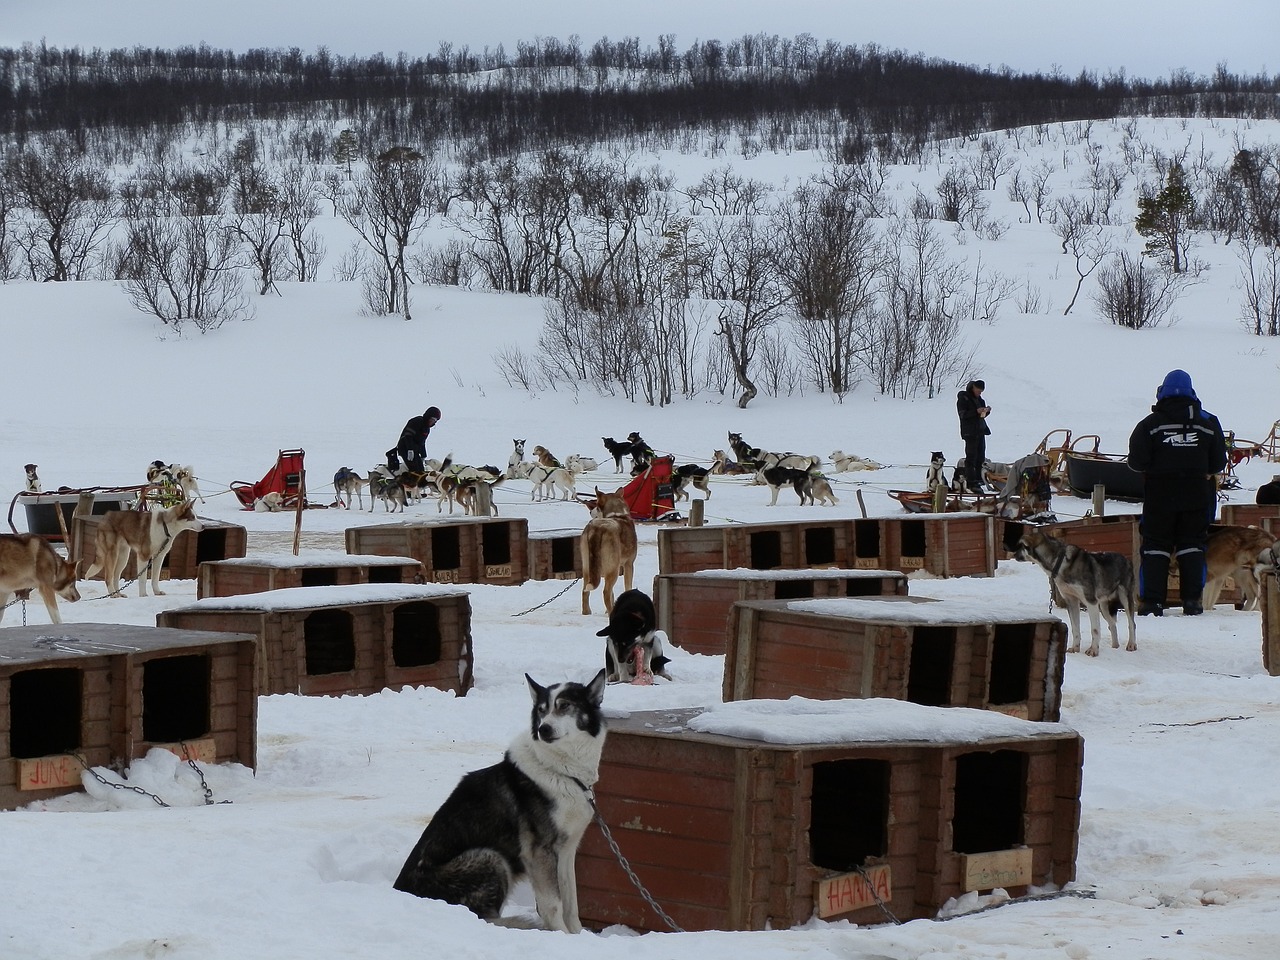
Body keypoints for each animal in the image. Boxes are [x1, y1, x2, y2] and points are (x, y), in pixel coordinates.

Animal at [391, 670, 606, 931]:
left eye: (564, 706)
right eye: (542, 710)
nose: (543, 729)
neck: (561, 770)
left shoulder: (566, 850)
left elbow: (571, 902)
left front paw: (577, 934)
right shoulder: (540, 852)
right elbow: (553, 905)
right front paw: (560, 935)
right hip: (491, 857)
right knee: (485, 917)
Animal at [583, 488, 637, 616]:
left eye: (597, 506)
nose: (590, 511)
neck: (616, 514)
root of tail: (597, 529)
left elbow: (613, 594)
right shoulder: (629, 564)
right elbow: (627, 587)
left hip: (587, 569)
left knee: (585, 592)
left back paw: (587, 612)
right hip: (614, 569)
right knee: (606, 592)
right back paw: (611, 613)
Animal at [1013, 529, 1136, 660]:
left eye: (1022, 545)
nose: (1014, 554)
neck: (1059, 562)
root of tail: (1127, 559)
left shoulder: (1090, 602)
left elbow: (1095, 629)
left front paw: (1093, 650)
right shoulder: (1071, 601)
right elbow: (1075, 628)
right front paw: (1075, 649)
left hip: (1125, 599)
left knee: (1132, 624)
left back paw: (1131, 645)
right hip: (1103, 606)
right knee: (1112, 624)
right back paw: (1115, 647)